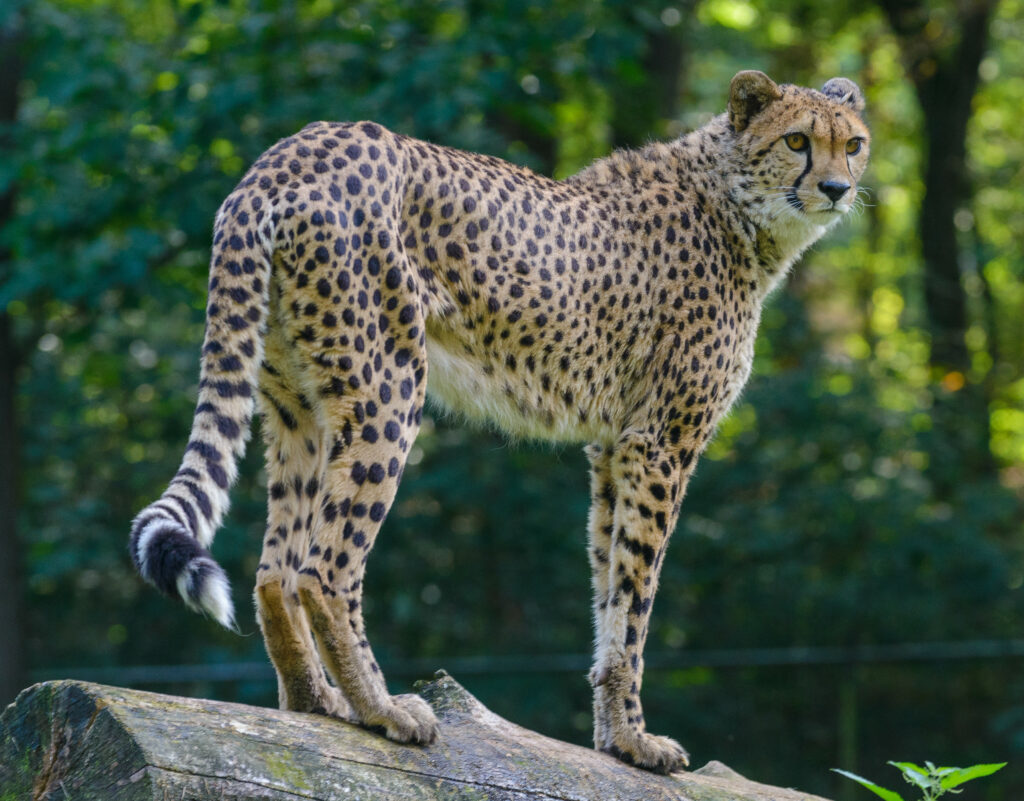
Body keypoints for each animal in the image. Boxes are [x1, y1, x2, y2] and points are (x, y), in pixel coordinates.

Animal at [129, 70, 869, 773]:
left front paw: (614, 739)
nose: (837, 188)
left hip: (299, 405)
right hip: (389, 387)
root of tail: (289, 151)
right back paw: (383, 709)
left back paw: (317, 703)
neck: (736, 205)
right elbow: (637, 601)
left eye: (853, 143)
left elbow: (608, 586)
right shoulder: (660, 443)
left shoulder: (612, 446)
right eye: (797, 141)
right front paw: (637, 739)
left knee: (273, 573)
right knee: (323, 570)